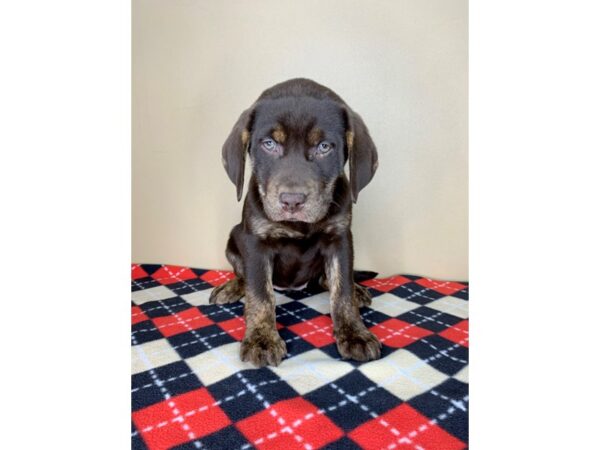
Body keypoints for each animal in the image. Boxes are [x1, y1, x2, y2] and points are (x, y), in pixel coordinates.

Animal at [210, 78, 380, 366]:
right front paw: (261, 338)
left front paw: (354, 333)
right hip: (234, 238)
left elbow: (342, 289)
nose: (292, 201)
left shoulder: (340, 239)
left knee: (327, 280)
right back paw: (232, 287)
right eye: (268, 144)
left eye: (324, 147)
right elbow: (260, 293)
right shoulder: (255, 242)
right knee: (244, 276)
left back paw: (356, 289)